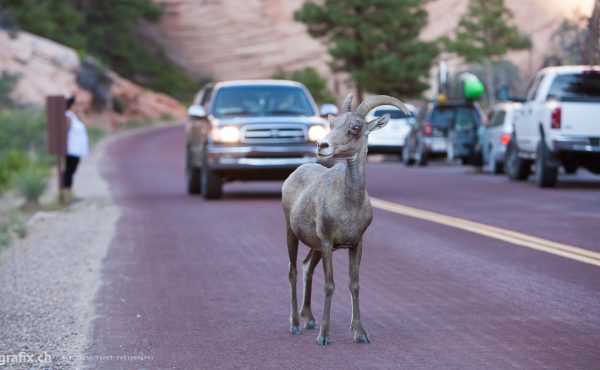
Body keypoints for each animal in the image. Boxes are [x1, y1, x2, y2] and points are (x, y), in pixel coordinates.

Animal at [284, 94, 410, 344]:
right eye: (332, 123)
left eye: (356, 127)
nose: (321, 146)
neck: (348, 204)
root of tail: (293, 175)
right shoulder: (327, 242)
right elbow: (330, 285)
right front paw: (324, 336)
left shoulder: (355, 244)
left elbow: (354, 285)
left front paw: (360, 333)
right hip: (291, 234)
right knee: (293, 272)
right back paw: (295, 324)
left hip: (315, 246)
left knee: (306, 267)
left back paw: (309, 319)